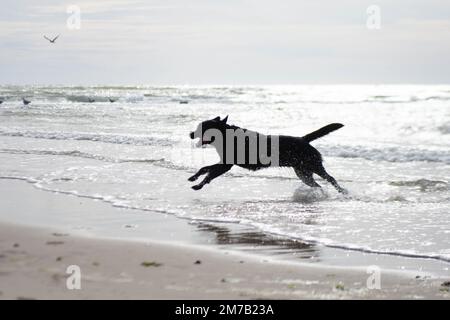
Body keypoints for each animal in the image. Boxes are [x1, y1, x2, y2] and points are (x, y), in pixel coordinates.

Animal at [188, 117, 346, 194]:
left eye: (201, 127)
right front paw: (193, 177)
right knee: (317, 184)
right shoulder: (224, 163)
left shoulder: (225, 165)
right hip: (303, 173)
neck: (226, 136)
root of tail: (303, 139)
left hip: (313, 166)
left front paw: (198, 185)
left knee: (331, 178)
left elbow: (209, 175)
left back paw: (343, 192)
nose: (190, 133)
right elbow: (204, 168)